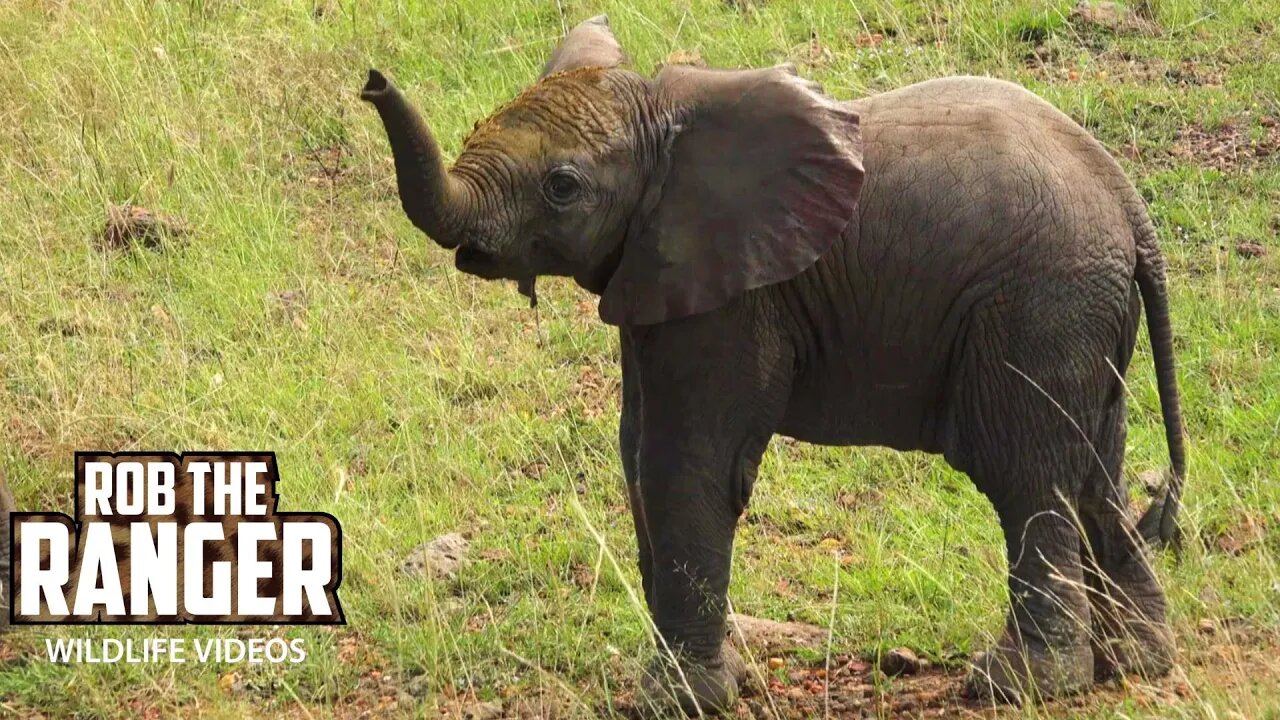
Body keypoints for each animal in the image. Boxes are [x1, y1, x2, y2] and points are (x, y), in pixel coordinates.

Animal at [366, 15, 1182, 712]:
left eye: (562, 187)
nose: (372, 80)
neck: (665, 120)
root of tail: (1127, 200)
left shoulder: (733, 296)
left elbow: (686, 462)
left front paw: (681, 701)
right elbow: (637, 454)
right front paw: (717, 679)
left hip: (1037, 303)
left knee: (1026, 473)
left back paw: (1022, 684)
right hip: (1081, 311)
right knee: (1095, 472)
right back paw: (1134, 664)